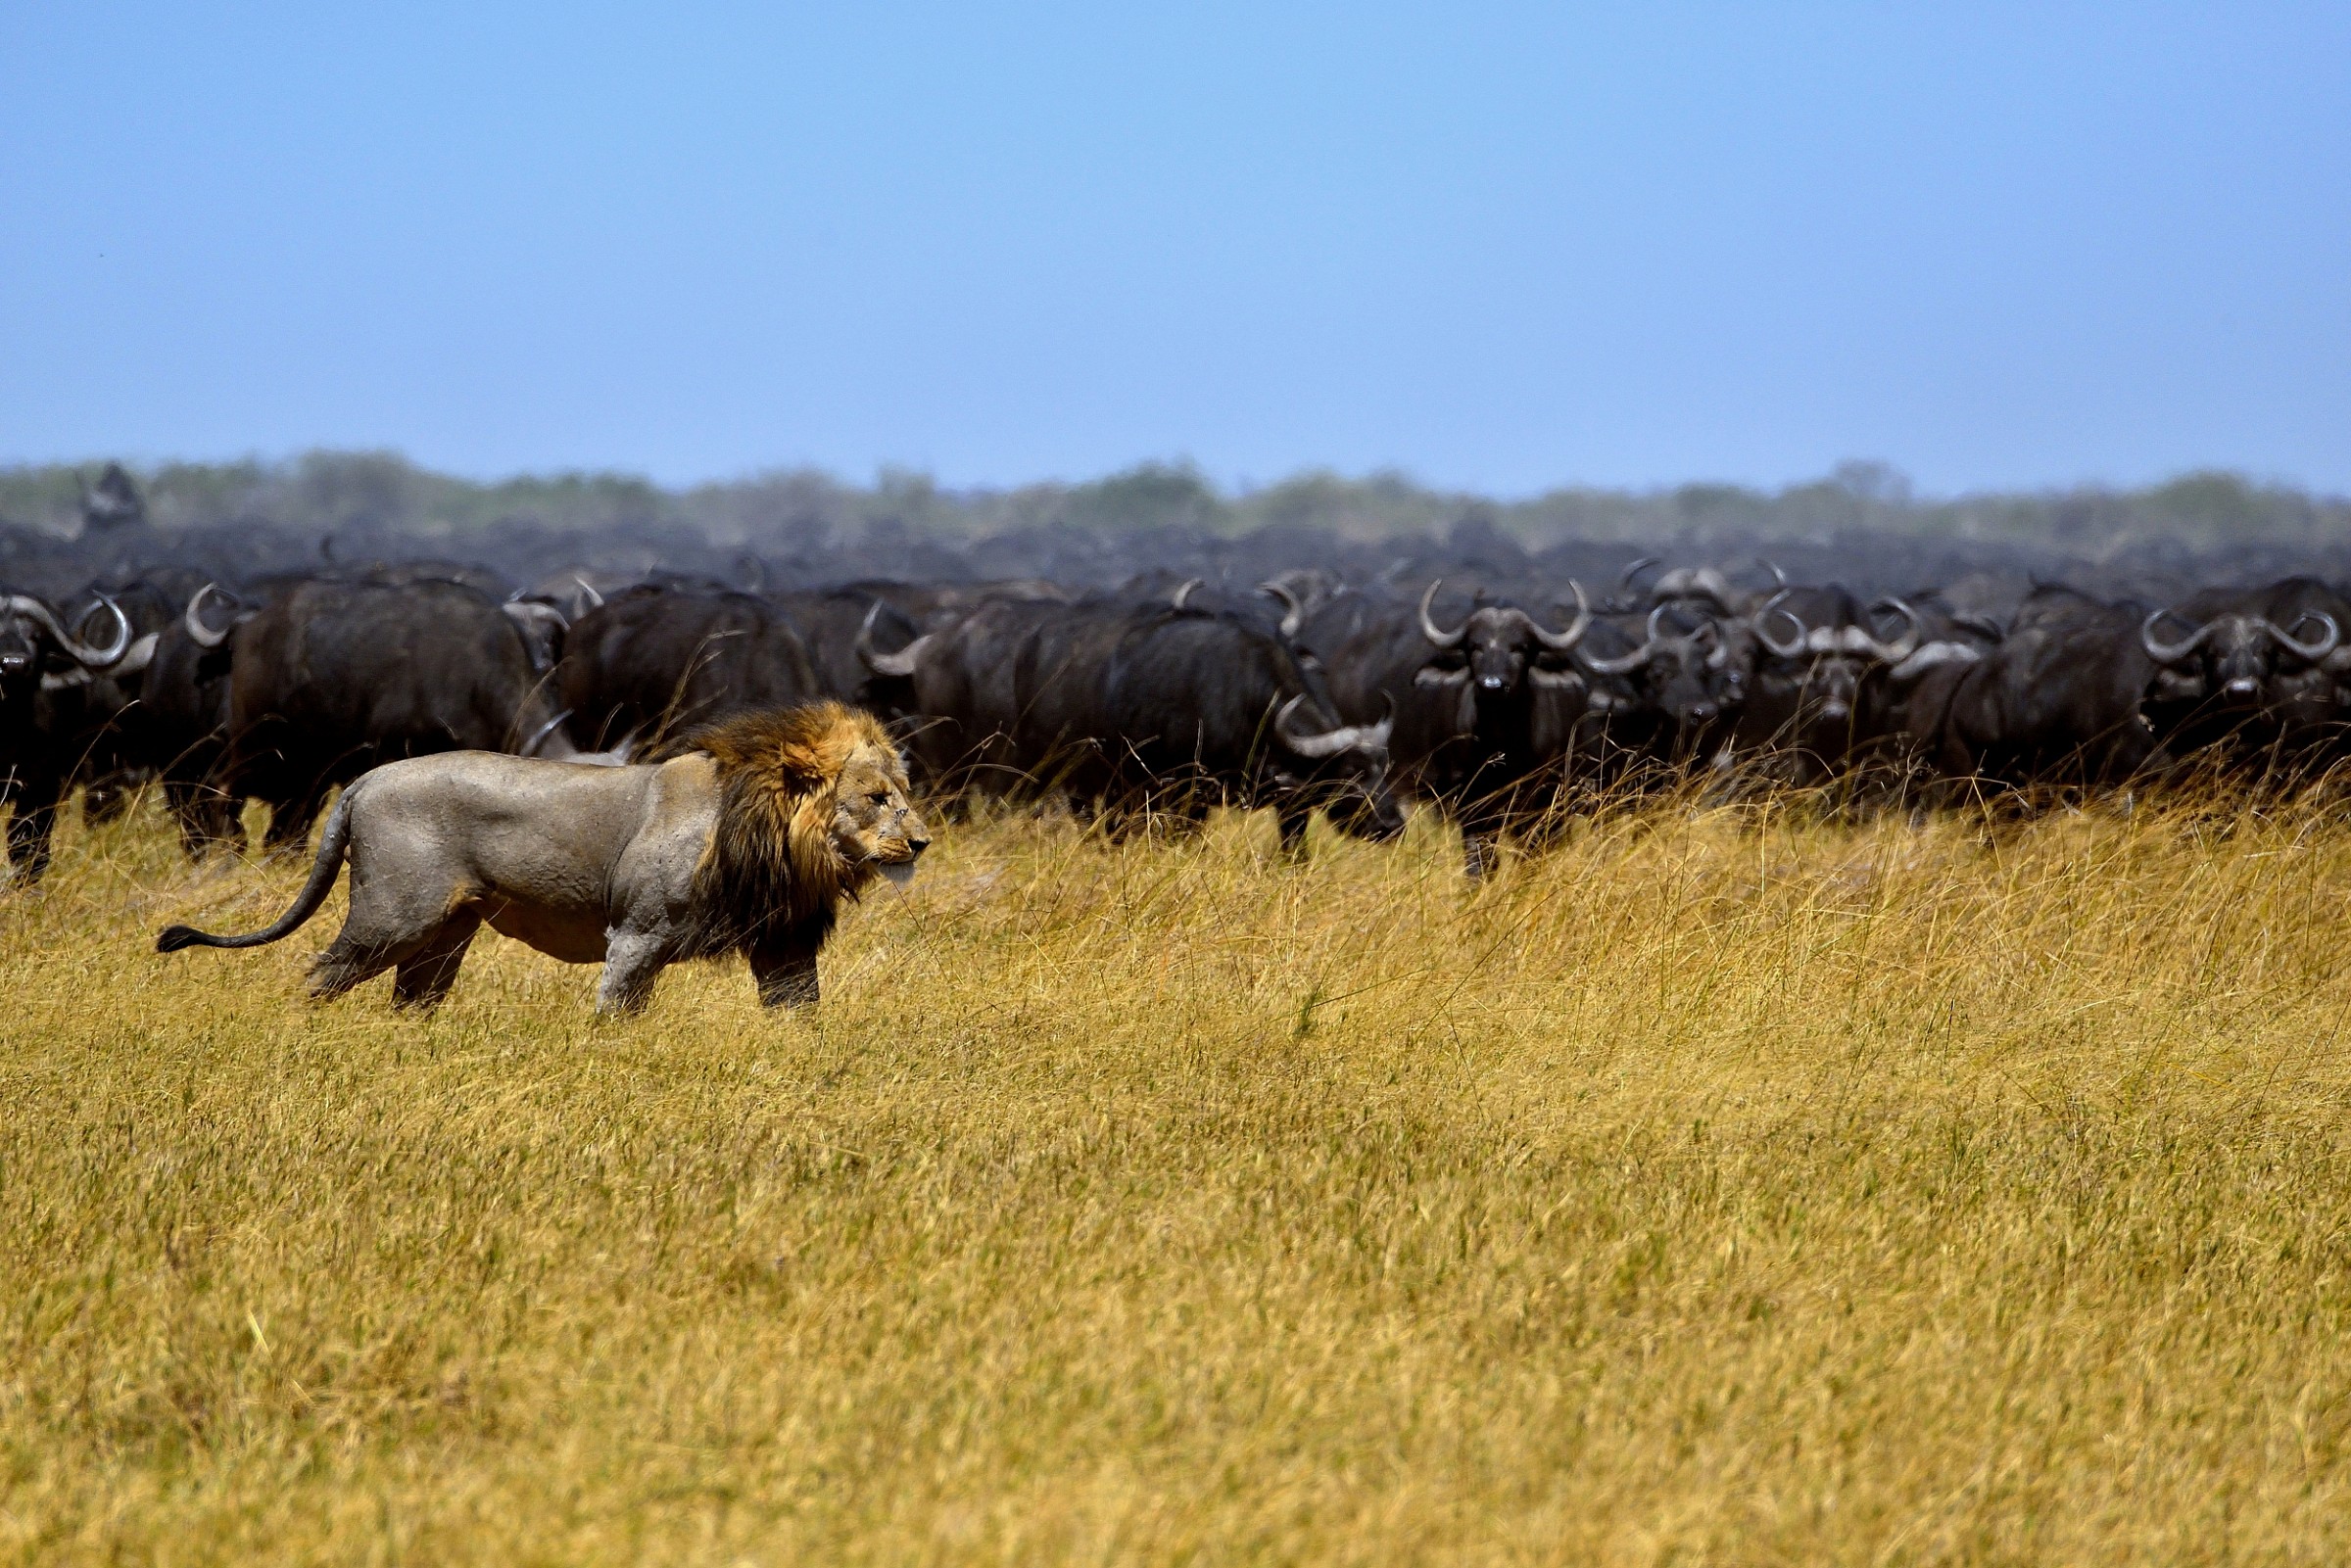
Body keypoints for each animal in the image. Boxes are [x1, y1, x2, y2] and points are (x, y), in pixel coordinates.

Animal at [156, 702, 929, 1015]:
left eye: (906, 793)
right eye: (875, 797)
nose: (921, 841)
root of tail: (365, 781)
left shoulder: (783, 942)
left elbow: (801, 1014)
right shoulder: (637, 933)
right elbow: (616, 1012)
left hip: (444, 936)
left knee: (410, 1001)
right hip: (393, 917)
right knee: (319, 975)